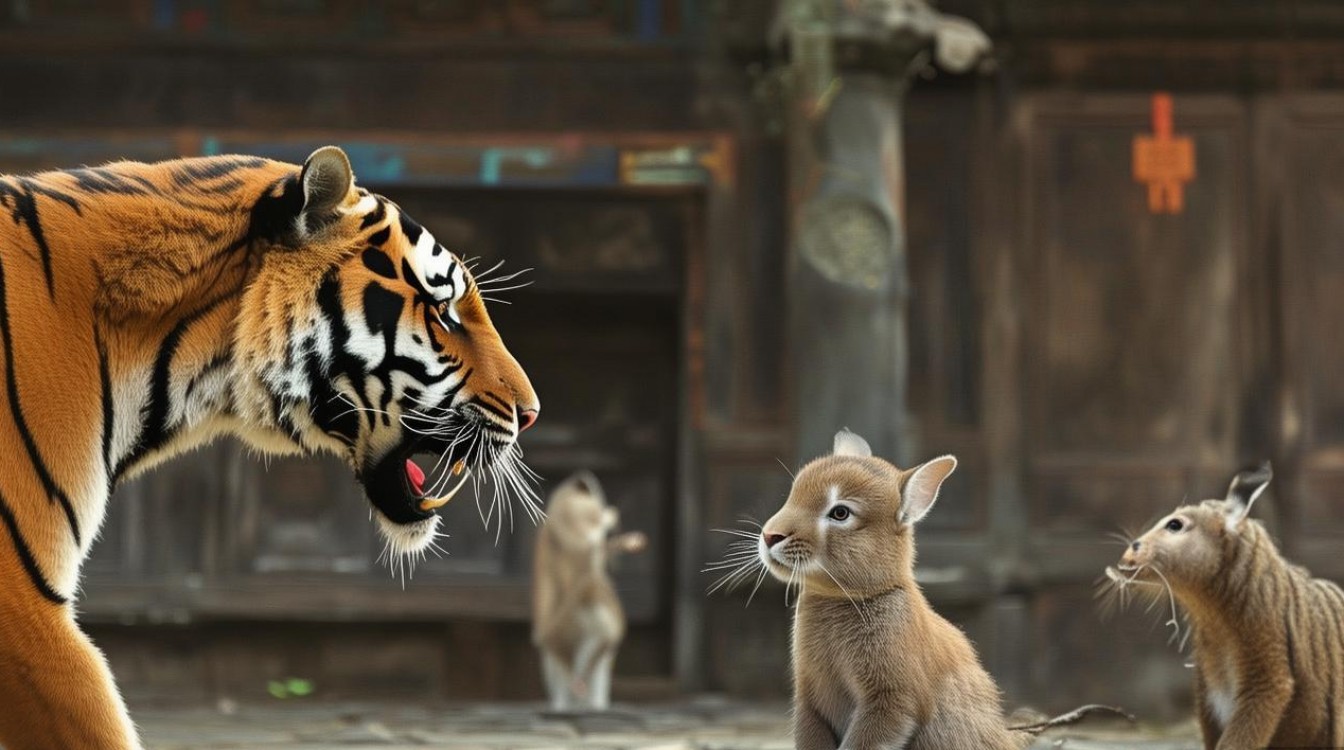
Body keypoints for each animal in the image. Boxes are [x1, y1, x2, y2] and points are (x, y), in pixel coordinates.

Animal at [1104, 462, 1344, 749]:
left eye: (1175, 525)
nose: (1127, 554)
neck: (1216, 618)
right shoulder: (1206, 691)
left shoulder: (1269, 679)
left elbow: (1237, 739)